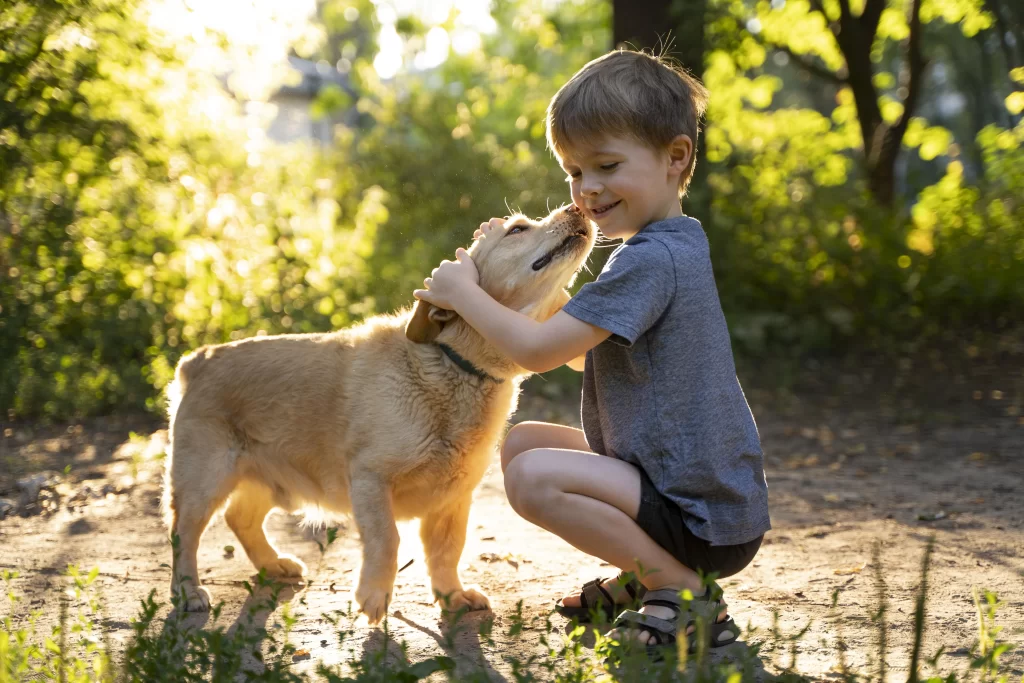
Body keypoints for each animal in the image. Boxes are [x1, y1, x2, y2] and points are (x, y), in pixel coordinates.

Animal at [159, 201, 593, 618]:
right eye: (517, 229)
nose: (578, 207)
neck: (453, 365)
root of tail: (196, 359)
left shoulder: (454, 498)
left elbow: (447, 551)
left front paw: (451, 596)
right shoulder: (370, 479)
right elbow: (387, 540)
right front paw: (373, 595)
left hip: (271, 480)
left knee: (241, 519)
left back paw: (274, 564)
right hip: (203, 482)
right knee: (183, 536)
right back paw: (188, 591)